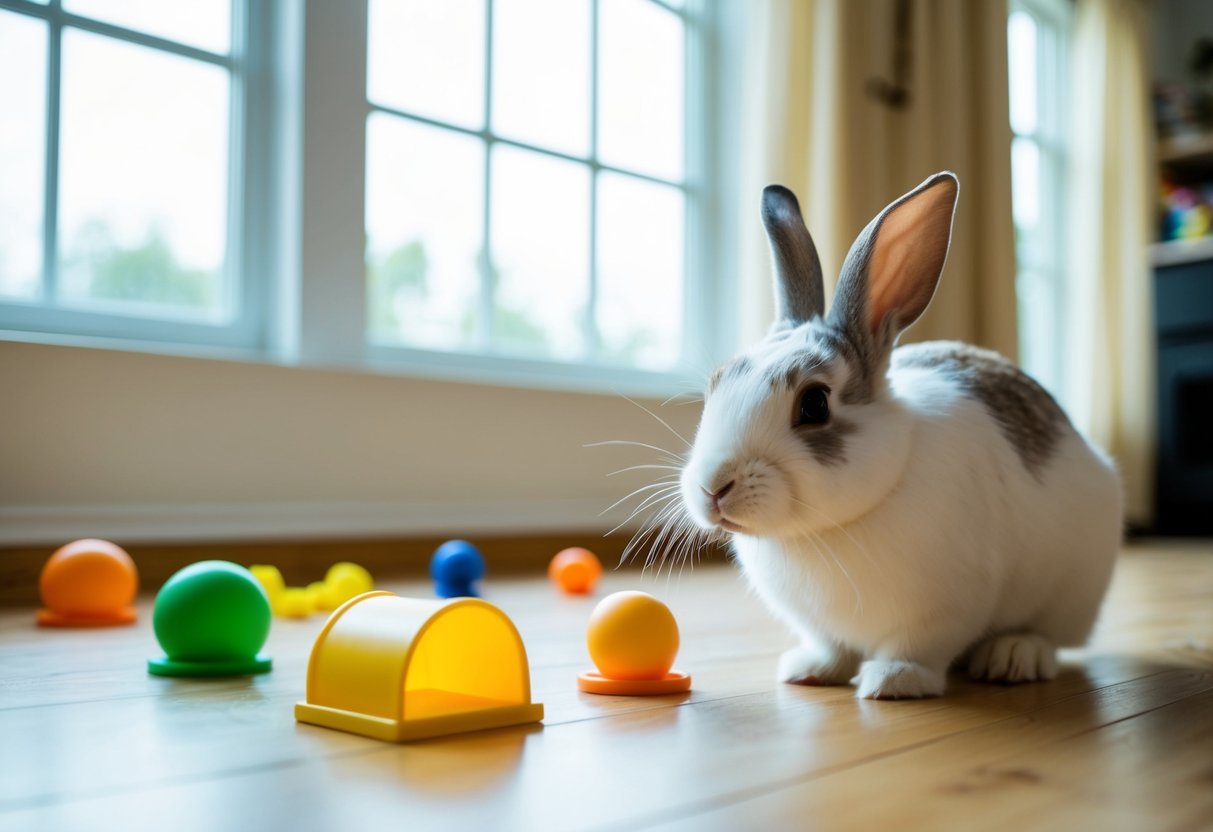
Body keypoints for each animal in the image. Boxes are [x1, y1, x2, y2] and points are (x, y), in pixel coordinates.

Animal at [678, 172, 1123, 699]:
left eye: (814, 404)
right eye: (717, 382)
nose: (712, 486)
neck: (827, 528)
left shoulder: (944, 610)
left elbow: (916, 648)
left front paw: (893, 682)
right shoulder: (819, 624)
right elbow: (830, 647)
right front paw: (808, 671)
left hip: (1070, 589)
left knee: (1049, 637)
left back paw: (1014, 656)